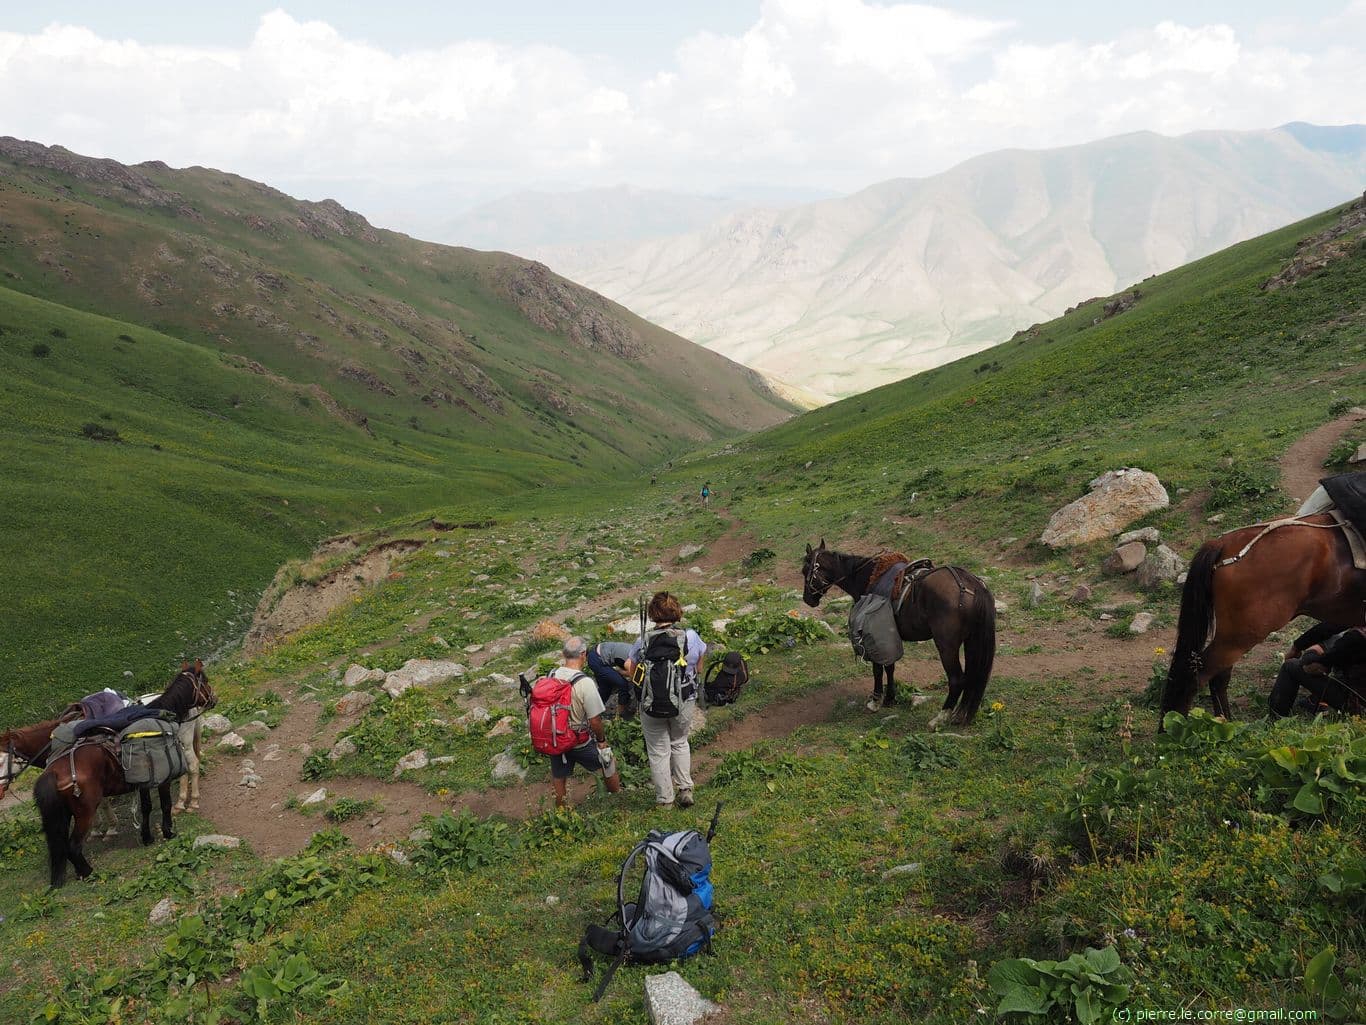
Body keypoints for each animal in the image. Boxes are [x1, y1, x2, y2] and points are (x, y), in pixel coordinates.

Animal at [33, 666, 213, 891]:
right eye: (204, 681)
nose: (213, 699)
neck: (161, 714)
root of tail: (54, 771)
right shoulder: (161, 778)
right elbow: (164, 804)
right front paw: (168, 832)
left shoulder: (144, 781)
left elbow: (145, 807)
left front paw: (147, 837)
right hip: (84, 812)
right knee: (74, 845)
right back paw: (87, 872)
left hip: (63, 815)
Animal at [797, 541, 994, 727]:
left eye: (805, 570)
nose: (808, 599)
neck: (867, 577)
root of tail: (971, 584)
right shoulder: (888, 636)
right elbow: (890, 667)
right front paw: (890, 698)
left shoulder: (874, 634)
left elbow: (878, 669)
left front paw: (876, 700)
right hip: (971, 641)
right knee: (971, 677)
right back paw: (958, 715)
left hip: (947, 645)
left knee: (957, 679)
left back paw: (940, 717)